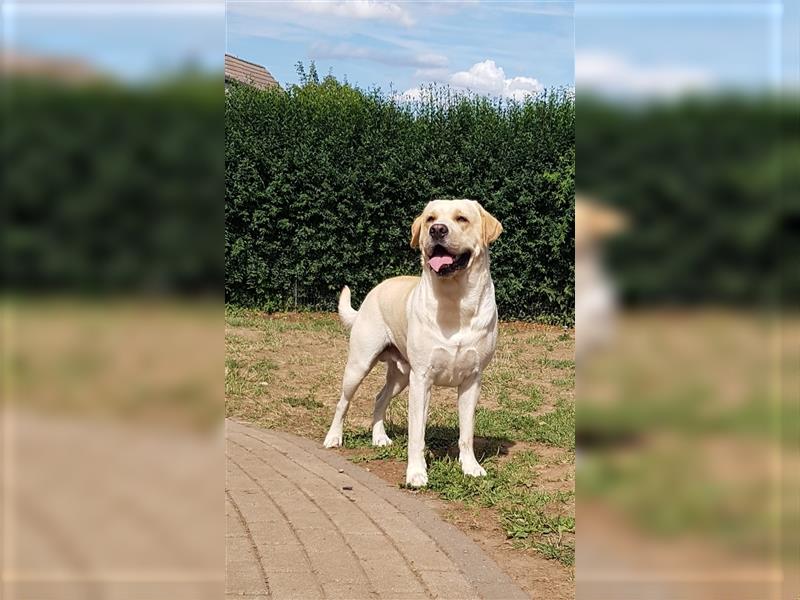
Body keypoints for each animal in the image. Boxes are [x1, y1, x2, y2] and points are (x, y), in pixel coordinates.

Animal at [324, 200, 500, 488]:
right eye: (430, 218)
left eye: (461, 219)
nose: (437, 230)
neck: (454, 301)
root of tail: (376, 288)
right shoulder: (422, 379)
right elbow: (417, 433)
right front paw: (416, 473)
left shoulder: (472, 380)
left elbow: (467, 433)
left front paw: (471, 467)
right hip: (359, 365)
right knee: (343, 402)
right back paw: (333, 437)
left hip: (401, 376)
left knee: (379, 398)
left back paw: (379, 437)